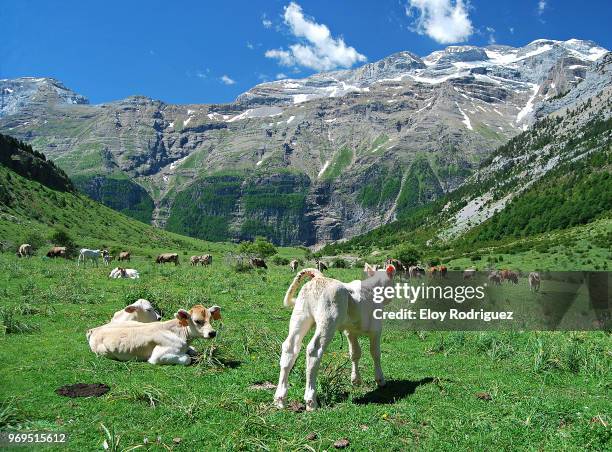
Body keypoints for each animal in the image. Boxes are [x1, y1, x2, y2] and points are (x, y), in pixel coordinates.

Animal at [85, 304, 221, 364]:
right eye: (197, 321)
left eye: (211, 319)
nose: (212, 333)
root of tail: (94, 329)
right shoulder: (157, 357)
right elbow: (187, 359)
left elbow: (193, 351)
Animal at [274, 264, 396, 410]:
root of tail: (319, 279)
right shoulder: (376, 329)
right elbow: (376, 353)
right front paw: (380, 380)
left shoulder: (350, 331)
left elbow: (355, 353)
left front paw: (355, 380)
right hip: (328, 321)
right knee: (314, 350)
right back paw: (310, 400)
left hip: (300, 316)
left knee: (290, 348)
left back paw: (280, 398)